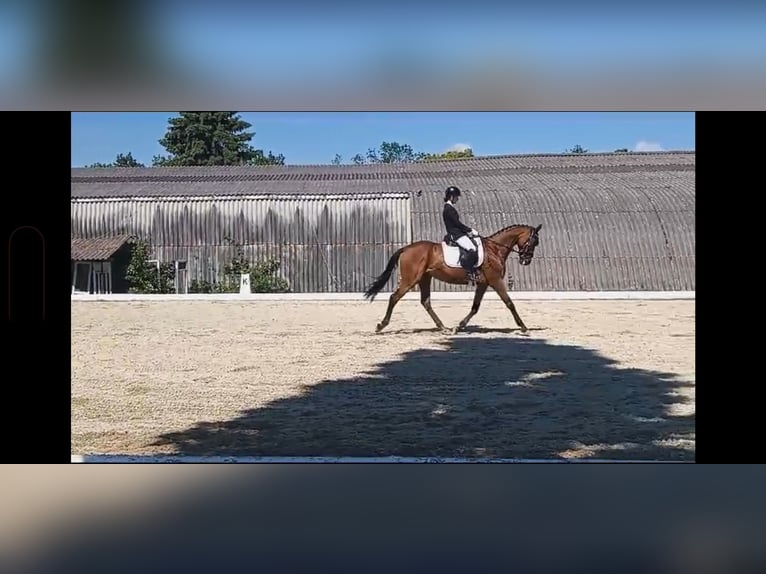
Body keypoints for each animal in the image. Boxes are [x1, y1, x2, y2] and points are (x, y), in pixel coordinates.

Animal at [364, 223, 544, 336]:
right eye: (534, 241)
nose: (526, 261)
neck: (495, 249)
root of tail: (406, 248)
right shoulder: (495, 281)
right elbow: (510, 303)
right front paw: (524, 328)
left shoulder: (483, 283)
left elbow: (475, 307)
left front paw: (459, 327)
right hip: (410, 279)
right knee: (394, 297)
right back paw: (381, 325)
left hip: (424, 278)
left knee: (425, 302)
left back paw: (443, 327)